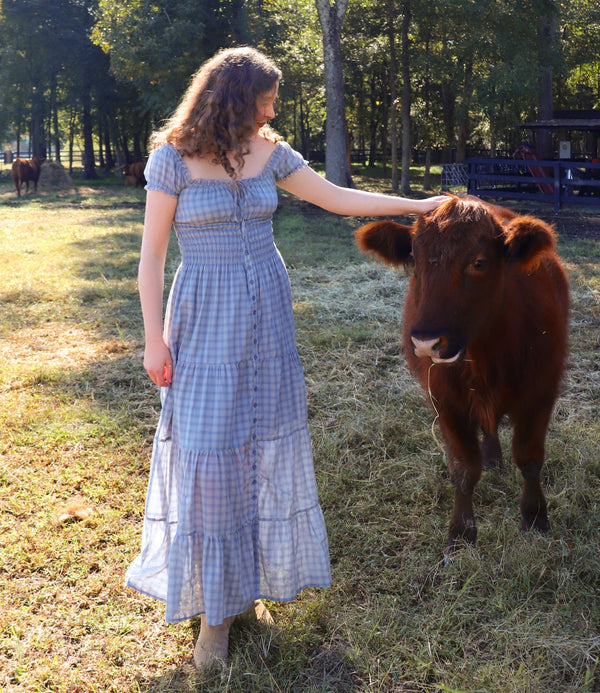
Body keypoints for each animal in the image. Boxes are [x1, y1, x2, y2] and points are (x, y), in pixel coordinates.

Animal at [355, 196, 569, 557]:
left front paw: (535, 517)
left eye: (479, 262)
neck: (485, 354)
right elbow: (463, 469)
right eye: (415, 259)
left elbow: (529, 458)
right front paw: (460, 534)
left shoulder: (540, 392)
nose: (425, 341)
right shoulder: (445, 402)